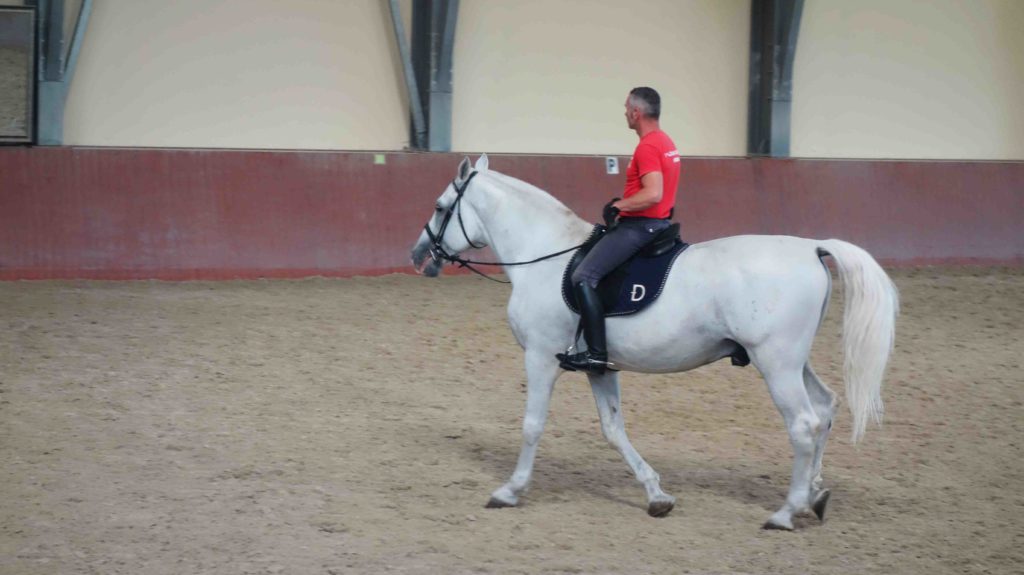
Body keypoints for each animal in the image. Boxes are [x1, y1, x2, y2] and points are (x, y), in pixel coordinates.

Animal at [409, 153, 897, 527]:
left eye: (440, 207)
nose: (418, 256)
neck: (544, 257)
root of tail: (811, 247)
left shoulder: (541, 356)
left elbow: (532, 425)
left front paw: (510, 491)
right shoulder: (597, 366)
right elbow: (613, 429)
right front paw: (656, 495)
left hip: (775, 363)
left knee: (804, 424)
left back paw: (785, 512)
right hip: (793, 360)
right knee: (825, 408)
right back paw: (815, 495)